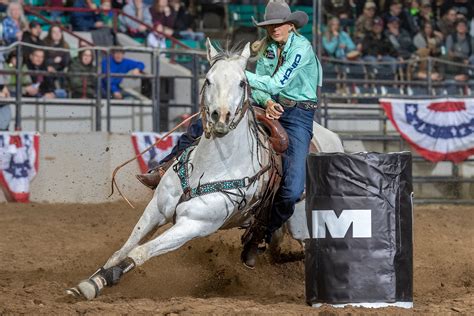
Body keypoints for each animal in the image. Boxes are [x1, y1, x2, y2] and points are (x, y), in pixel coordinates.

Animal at [68, 40, 342, 300]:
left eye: (242, 82)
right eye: (208, 80)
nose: (221, 116)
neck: (209, 168)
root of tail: (332, 139)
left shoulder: (194, 224)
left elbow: (140, 252)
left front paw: (100, 282)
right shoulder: (157, 209)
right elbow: (123, 250)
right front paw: (91, 281)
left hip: (303, 224)